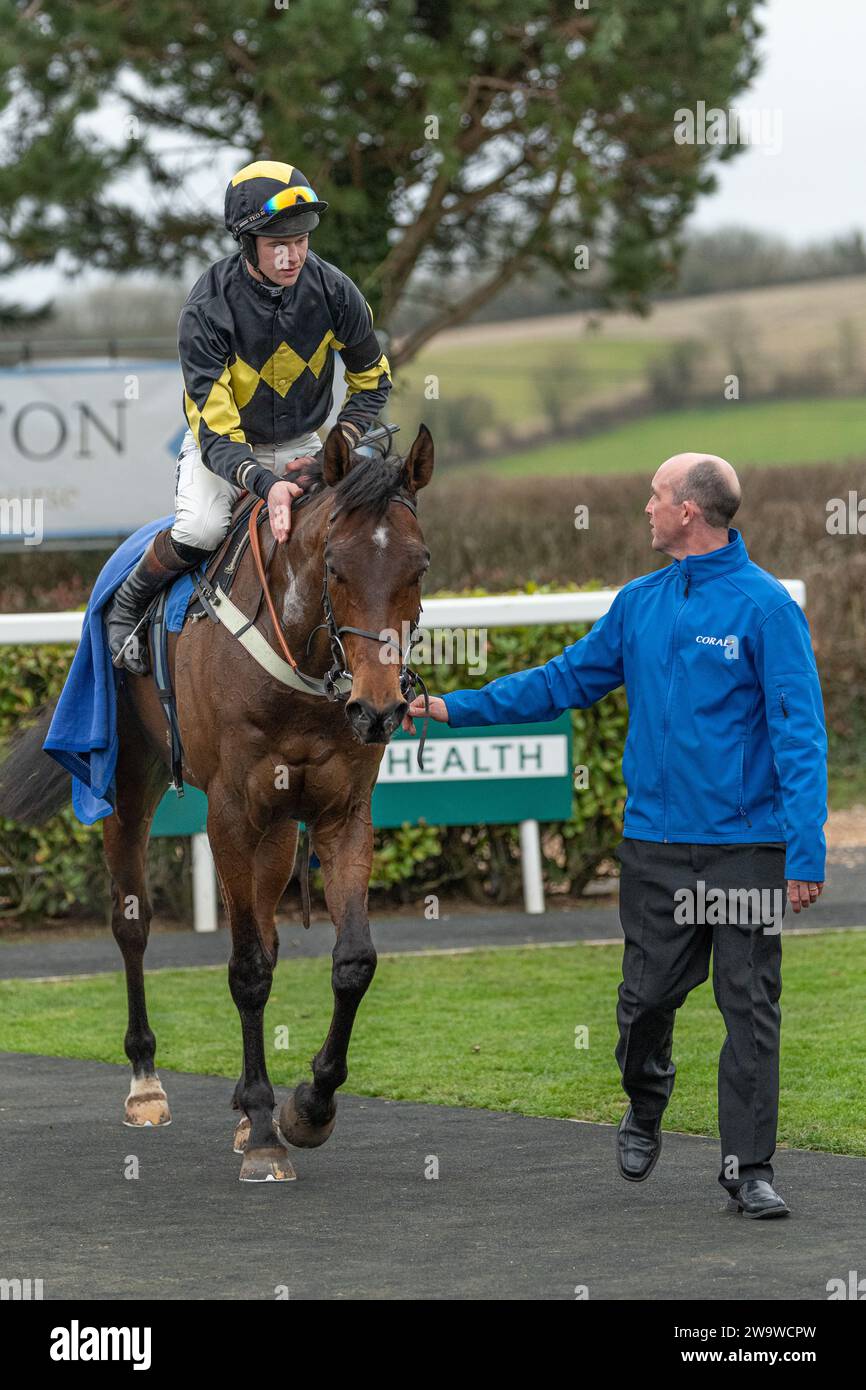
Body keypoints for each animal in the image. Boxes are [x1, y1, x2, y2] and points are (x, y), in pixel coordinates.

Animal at [0, 425, 433, 1184]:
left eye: (420, 565)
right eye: (336, 567)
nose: (379, 709)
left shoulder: (341, 810)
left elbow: (352, 960)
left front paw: (308, 1107)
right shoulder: (231, 809)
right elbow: (247, 969)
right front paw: (263, 1129)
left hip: (279, 832)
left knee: (265, 927)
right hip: (129, 783)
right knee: (133, 924)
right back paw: (146, 1082)